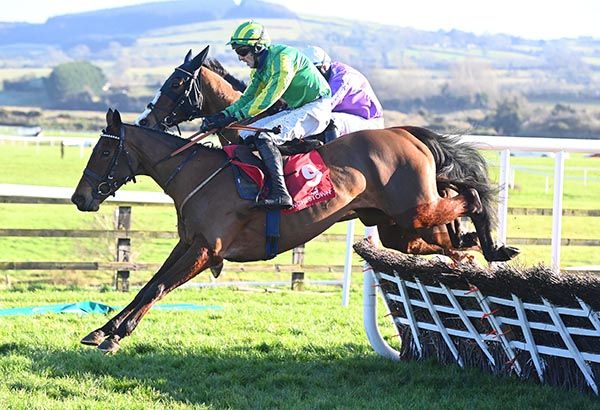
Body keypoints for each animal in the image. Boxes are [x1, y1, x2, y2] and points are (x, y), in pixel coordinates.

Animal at [71, 107, 517, 353]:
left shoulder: (206, 250)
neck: (195, 173)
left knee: (469, 194)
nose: (80, 197)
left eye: (105, 150)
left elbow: (160, 287)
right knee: (448, 235)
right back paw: (474, 250)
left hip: (417, 208)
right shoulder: (188, 244)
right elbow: (149, 285)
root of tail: (404, 132)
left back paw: (487, 241)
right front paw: (104, 329)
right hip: (399, 228)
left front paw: (116, 334)